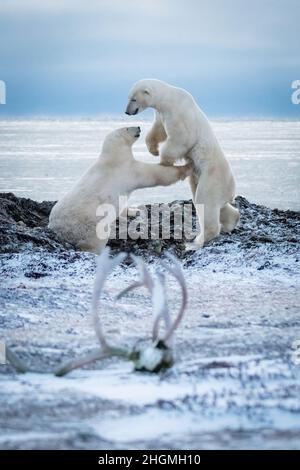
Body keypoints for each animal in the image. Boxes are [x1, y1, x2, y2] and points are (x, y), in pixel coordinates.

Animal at [48, 126, 190, 253]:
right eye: (127, 128)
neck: (113, 156)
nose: (138, 127)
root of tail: (56, 229)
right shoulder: (128, 169)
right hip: (89, 225)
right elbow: (156, 174)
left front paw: (134, 211)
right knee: (94, 239)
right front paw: (186, 167)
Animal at [125, 79, 240, 248]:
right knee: (213, 203)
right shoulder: (161, 114)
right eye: (128, 97)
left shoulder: (179, 113)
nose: (127, 112)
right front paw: (153, 150)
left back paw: (198, 241)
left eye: (133, 99)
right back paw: (232, 221)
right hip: (200, 177)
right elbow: (158, 131)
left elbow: (183, 137)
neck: (168, 98)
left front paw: (164, 160)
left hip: (213, 176)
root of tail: (231, 188)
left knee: (205, 200)